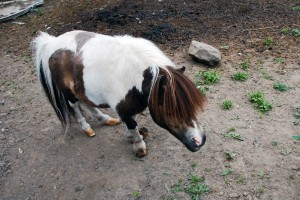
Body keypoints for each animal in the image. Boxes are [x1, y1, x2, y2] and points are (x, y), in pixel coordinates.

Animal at [32, 30, 206, 156]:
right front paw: (138, 144)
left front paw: (131, 136)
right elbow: (133, 125)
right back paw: (87, 128)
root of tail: (51, 42)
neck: (133, 76)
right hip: (68, 92)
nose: (200, 141)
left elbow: (132, 122)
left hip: (81, 89)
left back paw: (105, 119)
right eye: (171, 109)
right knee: (75, 106)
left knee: (86, 103)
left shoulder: (127, 107)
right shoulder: (122, 108)